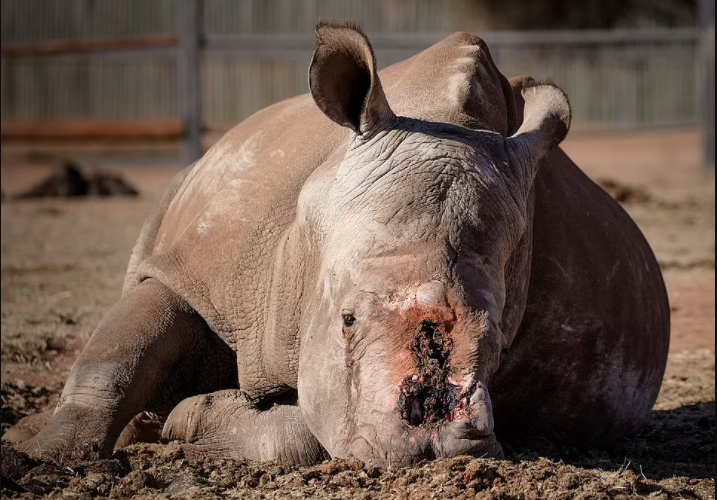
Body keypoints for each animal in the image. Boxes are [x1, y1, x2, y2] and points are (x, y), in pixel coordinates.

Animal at [8, 21, 669, 467]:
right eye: (346, 320)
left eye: (503, 345)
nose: (439, 445)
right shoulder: (192, 271)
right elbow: (116, 356)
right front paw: (43, 457)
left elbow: (298, 432)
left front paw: (185, 418)